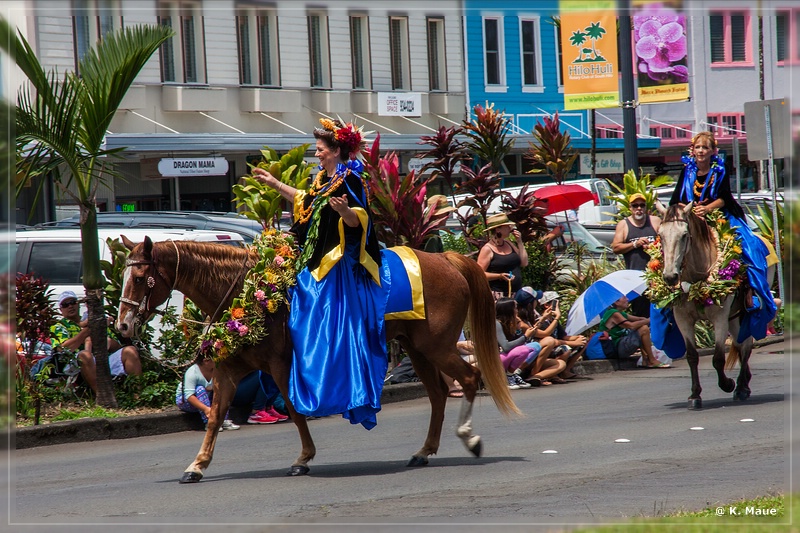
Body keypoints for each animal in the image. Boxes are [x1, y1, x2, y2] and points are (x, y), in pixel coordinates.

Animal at [117, 237, 520, 482]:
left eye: (140, 277)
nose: (122, 326)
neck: (245, 291)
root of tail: (446, 258)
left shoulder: (280, 366)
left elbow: (295, 410)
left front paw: (303, 459)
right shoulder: (230, 372)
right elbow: (215, 418)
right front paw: (197, 466)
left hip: (437, 346)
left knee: (468, 379)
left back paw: (469, 437)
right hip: (417, 347)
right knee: (438, 393)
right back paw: (424, 451)